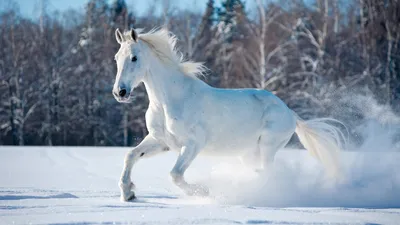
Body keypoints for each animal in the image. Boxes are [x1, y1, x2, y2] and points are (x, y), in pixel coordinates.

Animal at [113, 27, 346, 201]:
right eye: (116, 58)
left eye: (134, 58)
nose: (120, 92)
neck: (169, 101)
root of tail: (290, 112)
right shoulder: (161, 141)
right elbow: (130, 155)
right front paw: (128, 193)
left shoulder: (193, 144)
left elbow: (175, 175)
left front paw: (203, 192)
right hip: (248, 154)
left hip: (268, 147)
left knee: (268, 173)